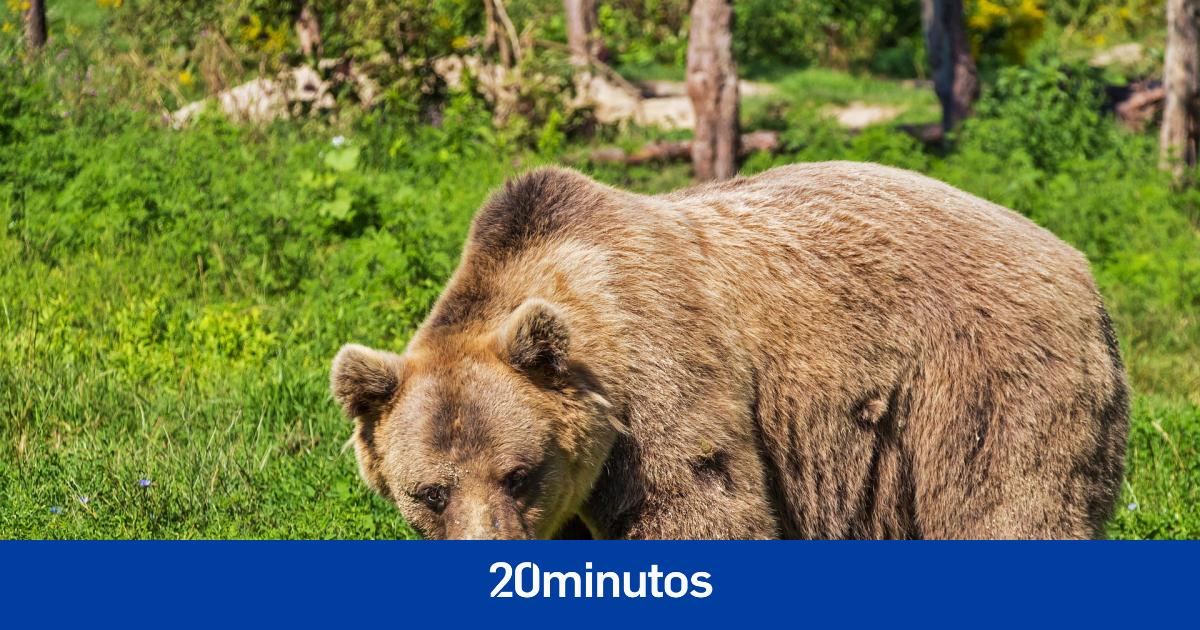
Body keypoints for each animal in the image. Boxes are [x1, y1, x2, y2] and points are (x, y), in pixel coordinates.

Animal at [330, 161, 1129, 539]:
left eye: (520, 472)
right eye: (429, 491)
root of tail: (1079, 265)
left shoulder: (659, 385)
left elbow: (701, 504)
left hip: (984, 385)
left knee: (1012, 503)